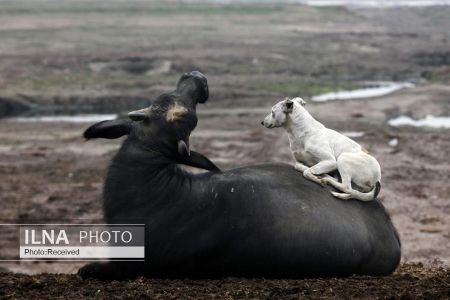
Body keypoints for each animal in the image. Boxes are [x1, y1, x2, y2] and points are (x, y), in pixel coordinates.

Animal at [78, 71, 400, 280]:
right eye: (170, 105)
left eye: (184, 113)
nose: (196, 79)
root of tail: (392, 234)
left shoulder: (144, 263)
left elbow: (90, 270)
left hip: (345, 165)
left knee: (346, 185)